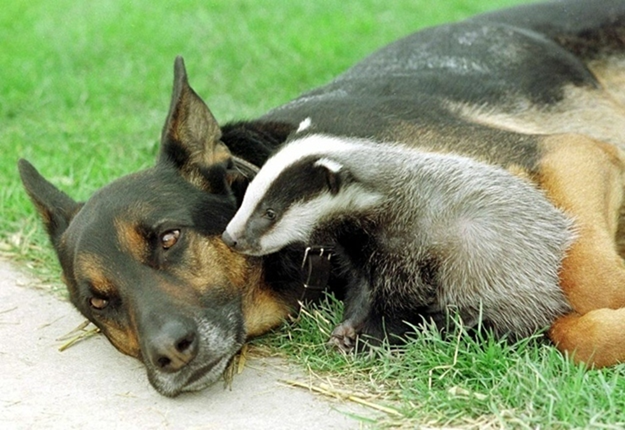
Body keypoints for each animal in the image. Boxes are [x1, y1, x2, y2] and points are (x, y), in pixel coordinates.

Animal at [17, 0, 624, 396]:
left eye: (169, 238)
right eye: (99, 302)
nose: (167, 355)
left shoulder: (568, 153)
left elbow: (585, 272)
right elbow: (562, 324)